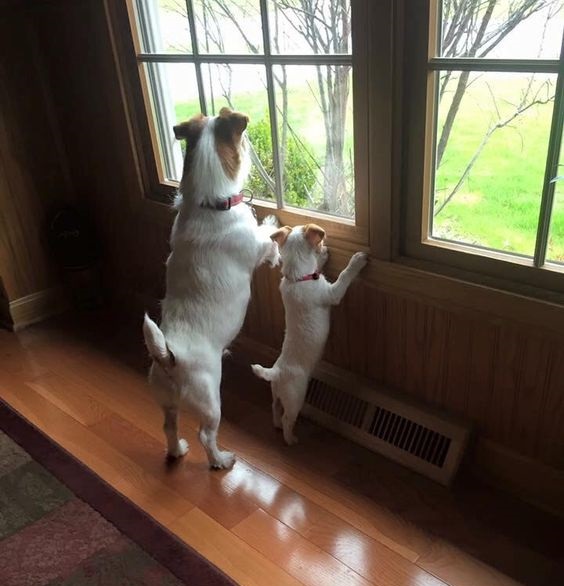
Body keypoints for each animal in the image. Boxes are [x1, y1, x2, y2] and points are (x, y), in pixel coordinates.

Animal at [143, 107, 280, 468]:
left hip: (166, 403)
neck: (208, 204)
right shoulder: (254, 247)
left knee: (169, 427)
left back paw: (177, 451)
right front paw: (273, 228)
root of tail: (168, 358)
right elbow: (269, 241)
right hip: (210, 401)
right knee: (206, 435)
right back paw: (221, 460)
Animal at [252, 224, 368, 442]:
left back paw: (277, 425)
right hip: (295, 397)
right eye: (319, 244)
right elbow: (344, 276)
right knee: (288, 418)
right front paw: (357, 260)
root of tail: (276, 372)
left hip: (276, 394)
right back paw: (291, 439)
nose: (327, 249)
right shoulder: (332, 293)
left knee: (274, 408)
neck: (297, 278)